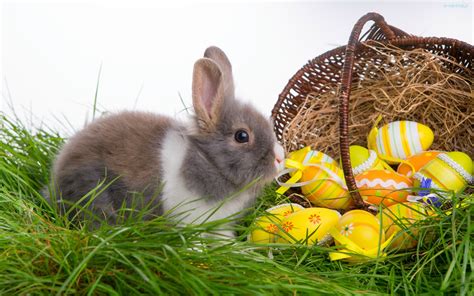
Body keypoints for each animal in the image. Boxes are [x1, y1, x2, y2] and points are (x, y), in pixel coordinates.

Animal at [47, 46, 286, 236]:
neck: (206, 160)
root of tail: (55, 181)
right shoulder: (189, 220)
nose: (279, 158)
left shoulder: (220, 226)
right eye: (242, 136)